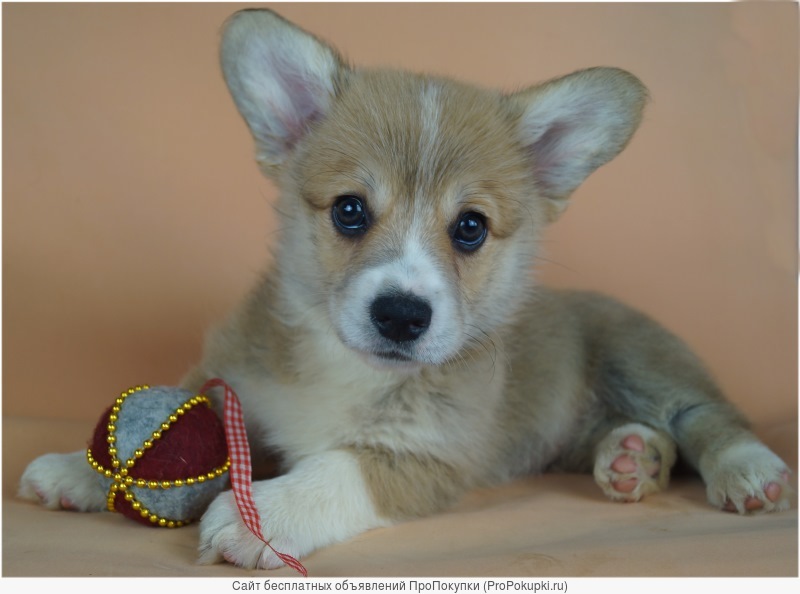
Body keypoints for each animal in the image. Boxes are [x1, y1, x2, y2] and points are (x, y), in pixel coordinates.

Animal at [18, 9, 788, 568]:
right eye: (349, 210)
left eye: (470, 227)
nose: (400, 315)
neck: (346, 369)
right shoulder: (232, 382)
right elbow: (178, 404)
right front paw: (79, 469)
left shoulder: (426, 456)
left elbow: (339, 468)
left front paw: (258, 515)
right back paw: (631, 457)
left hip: (644, 359)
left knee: (709, 417)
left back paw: (746, 470)